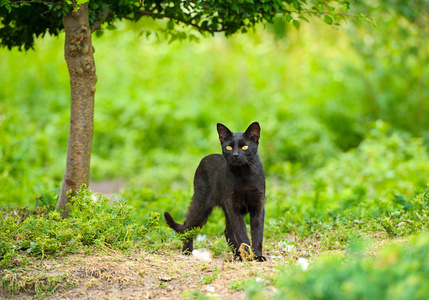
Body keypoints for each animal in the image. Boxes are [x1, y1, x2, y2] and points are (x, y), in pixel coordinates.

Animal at [164, 122, 264, 262]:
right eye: (228, 147)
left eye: (245, 147)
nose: (235, 155)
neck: (243, 175)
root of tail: (204, 159)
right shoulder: (233, 207)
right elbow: (241, 232)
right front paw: (248, 255)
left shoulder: (258, 205)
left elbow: (258, 232)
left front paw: (257, 256)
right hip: (201, 205)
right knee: (188, 225)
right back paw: (186, 251)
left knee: (227, 231)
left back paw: (237, 255)